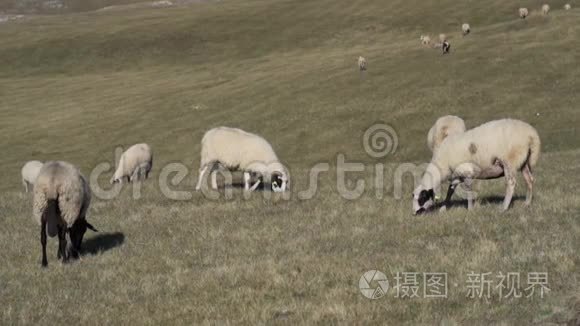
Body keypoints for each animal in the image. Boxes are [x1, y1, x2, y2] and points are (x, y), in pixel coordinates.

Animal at [412, 118, 540, 215]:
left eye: (422, 198)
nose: (415, 213)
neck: (442, 164)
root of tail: (532, 135)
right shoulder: (457, 176)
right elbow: (450, 191)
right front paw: (443, 208)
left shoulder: (467, 173)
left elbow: (468, 192)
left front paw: (470, 209)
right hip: (524, 162)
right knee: (529, 180)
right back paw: (527, 204)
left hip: (510, 162)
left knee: (511, 184)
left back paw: (503, 207)